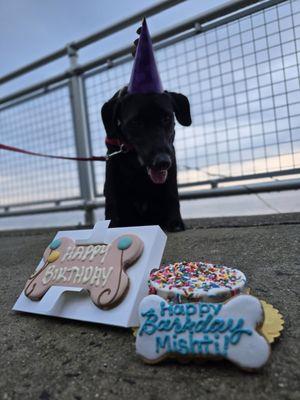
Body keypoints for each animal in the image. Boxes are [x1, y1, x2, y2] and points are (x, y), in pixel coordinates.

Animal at [101, 87, 192, 231]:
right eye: (136, 122)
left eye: (166, 118)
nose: (162, 162)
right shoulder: (112, 159)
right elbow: (111, 195)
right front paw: (111, 224)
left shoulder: (171, 157)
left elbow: (172, 192)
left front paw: (175, 221)